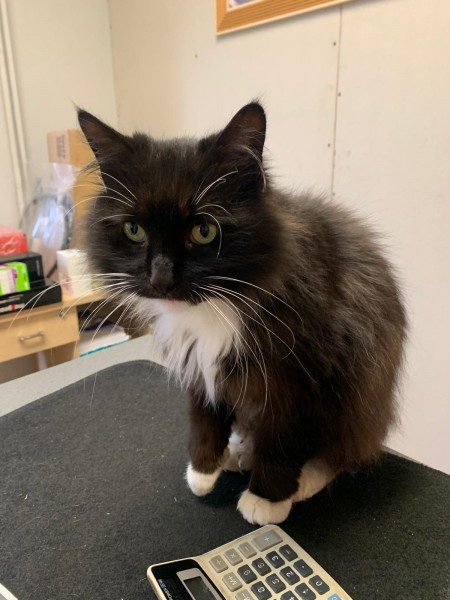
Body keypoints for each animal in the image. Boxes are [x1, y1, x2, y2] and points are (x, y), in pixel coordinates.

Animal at [78, 102, 406, 525]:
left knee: (342, 450)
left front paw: (267, 498)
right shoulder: (201, 364)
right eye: (134, 230)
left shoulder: (298, 379)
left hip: (358, 393)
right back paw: (239, 453)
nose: (160, 279)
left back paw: (303, 478)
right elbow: (204, 417)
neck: (216, 308)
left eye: (203, 230)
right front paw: (203, 471)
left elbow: (283, 441)